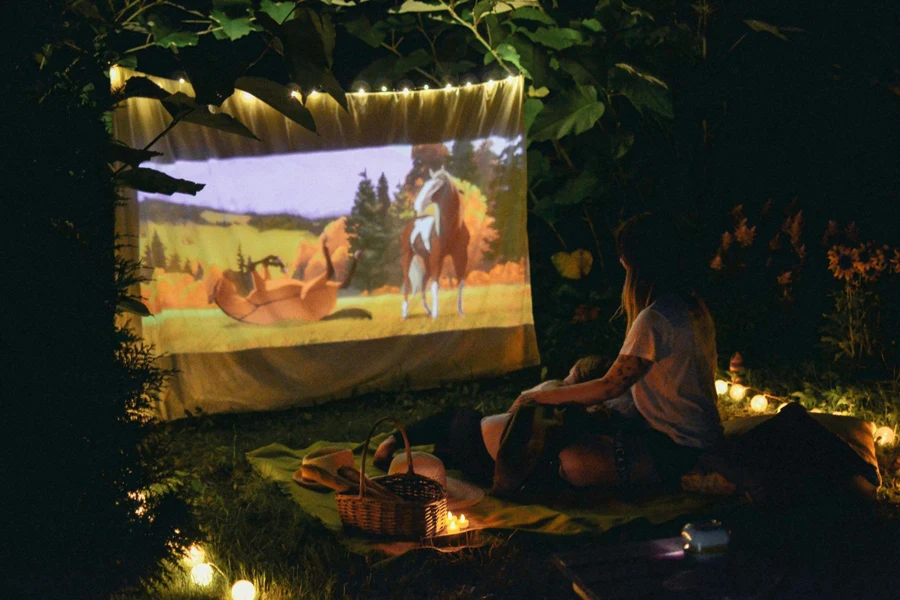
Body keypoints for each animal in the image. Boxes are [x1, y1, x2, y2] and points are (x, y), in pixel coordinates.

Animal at [400, 168, 472, 318]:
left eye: (436, 186)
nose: (417, 205)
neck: (452, 229)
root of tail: (412, 223)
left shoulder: (461, 255)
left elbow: (460, 282)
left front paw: (461, 312)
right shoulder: (437, 257)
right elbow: (435, 284)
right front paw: (435, 315)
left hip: (427, 260)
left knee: (422, 282)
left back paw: (427, 310)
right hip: (408, 256)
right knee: (407, 282)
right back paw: (405, 313)